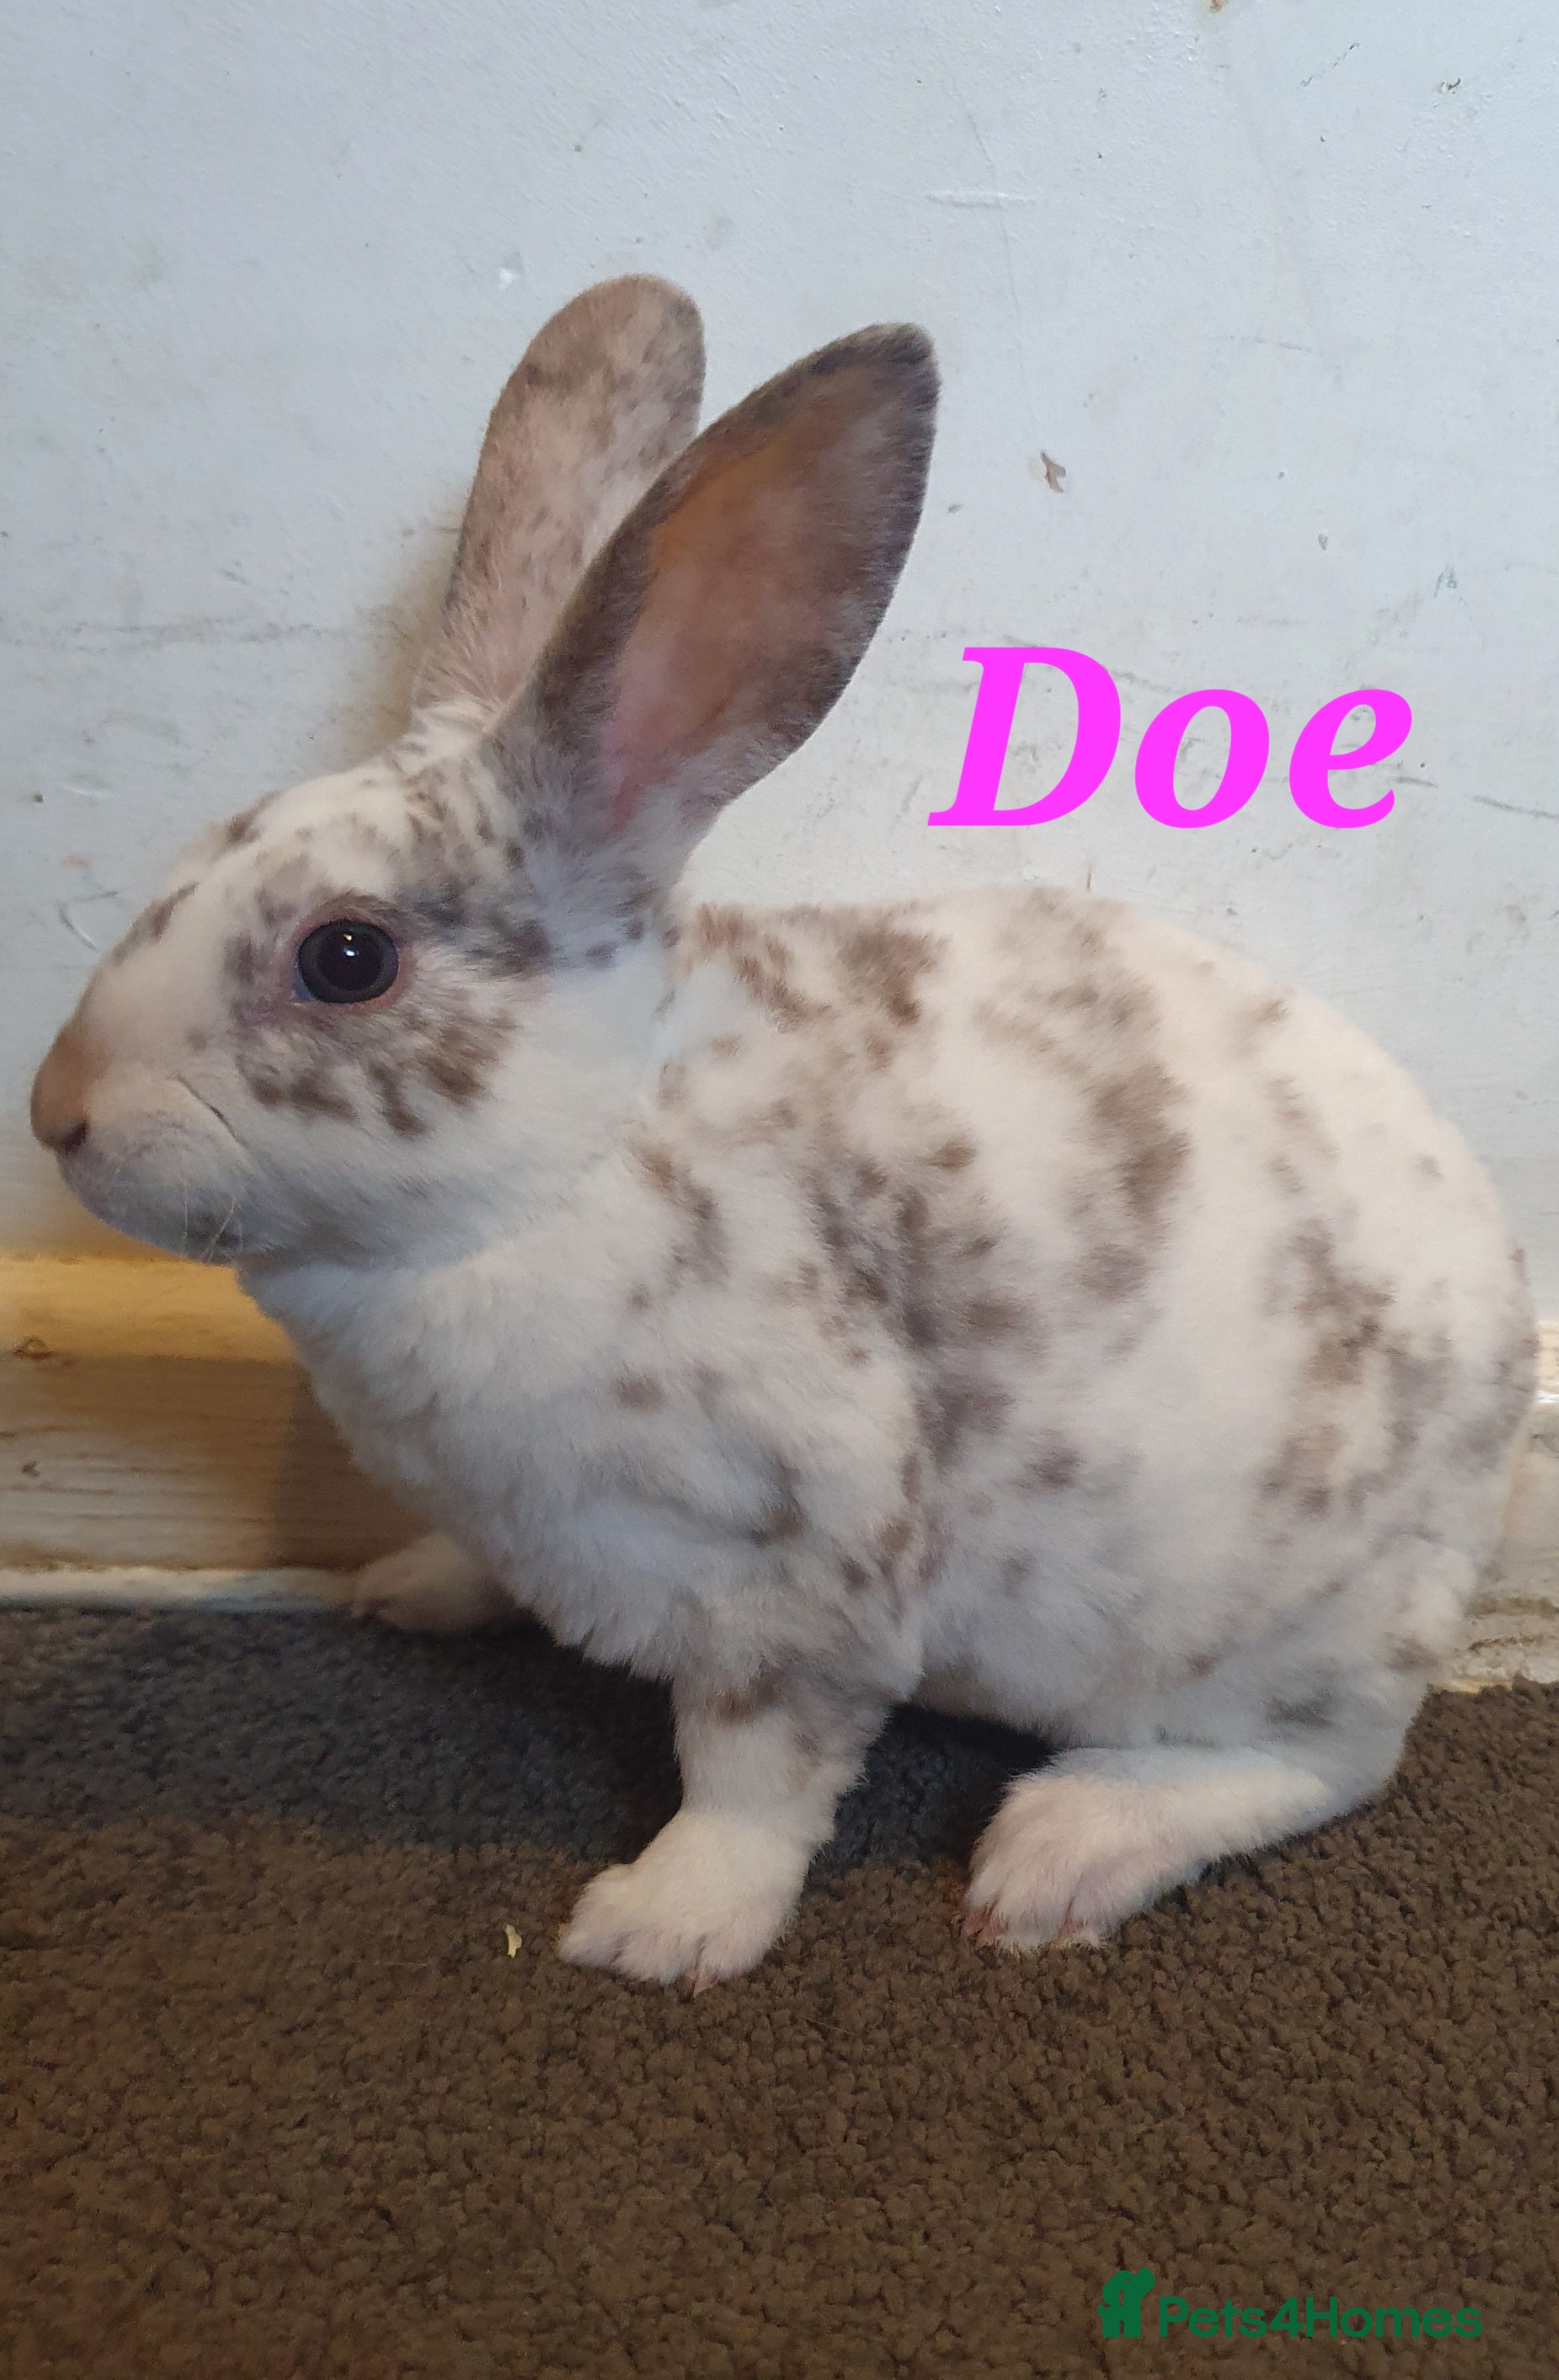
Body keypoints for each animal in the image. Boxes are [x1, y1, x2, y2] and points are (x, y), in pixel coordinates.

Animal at [32, 273, 1536, 1989]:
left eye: (346, 958)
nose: (57, 1113)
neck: (557, 1176)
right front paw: (404, 1587)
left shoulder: (798, 1574)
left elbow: (755, 1774)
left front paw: (657, 1929)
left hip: (1259, 1635)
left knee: (1324, 1761)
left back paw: (1058, 1854)